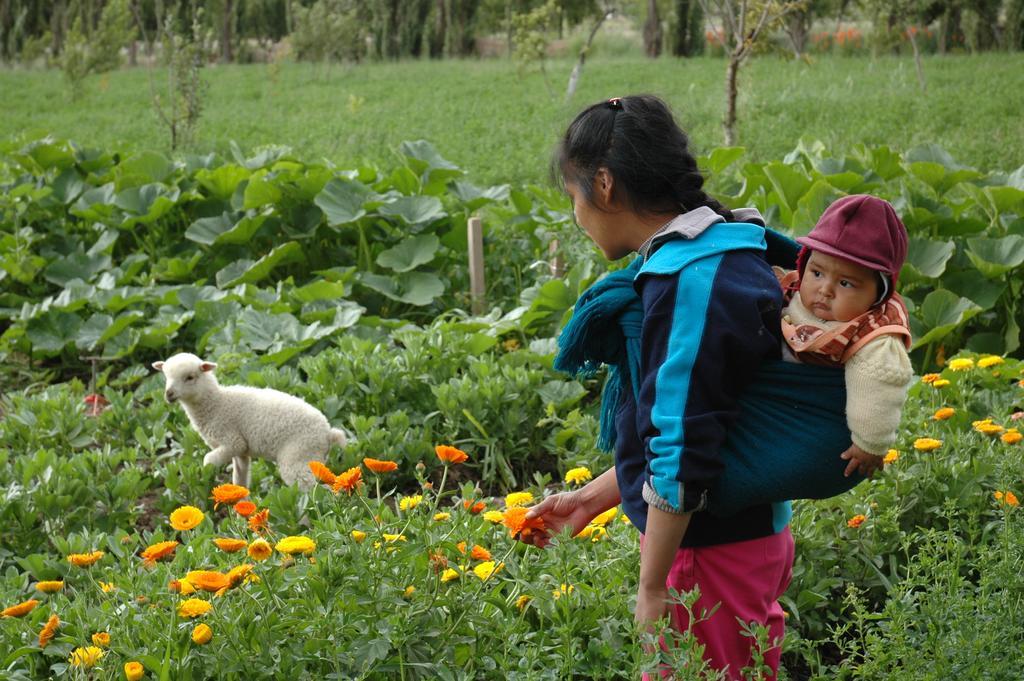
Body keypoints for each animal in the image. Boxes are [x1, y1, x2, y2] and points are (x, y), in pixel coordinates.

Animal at [149, 356, 346, 489]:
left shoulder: (232, 440)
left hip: (299, 455)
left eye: (190, 377)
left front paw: (206, 474)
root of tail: (328, 432)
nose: (169, 394)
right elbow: (240, 479)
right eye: (165, 376)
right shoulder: (240, 452)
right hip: (312, 458)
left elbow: (208, 459)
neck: (216, 403)